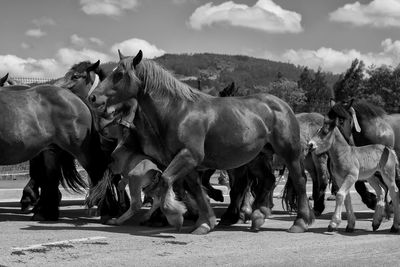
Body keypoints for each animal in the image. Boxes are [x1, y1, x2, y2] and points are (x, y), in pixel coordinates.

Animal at [89, 50, 314, 234]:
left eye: (119, 74)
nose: (93, 98)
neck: (179, 111)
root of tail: (282, 104)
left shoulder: (189, 156)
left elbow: (165, 181)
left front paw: (175, 215)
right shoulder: (185, 161)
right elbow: (196, 190)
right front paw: (205, 222)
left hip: (289, 153)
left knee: (299, 180)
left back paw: (300, 222)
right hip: (257, 157)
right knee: (268, 180)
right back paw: (258, 216)